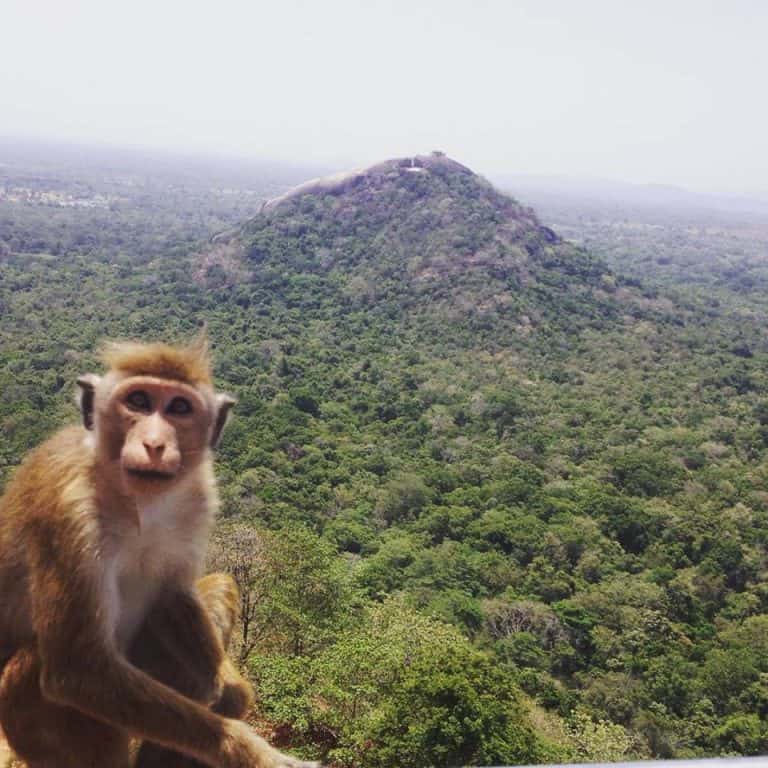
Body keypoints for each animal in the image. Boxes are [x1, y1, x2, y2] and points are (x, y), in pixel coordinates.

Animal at [0, 335, 317, 768]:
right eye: (137, 401)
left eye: (179, 407)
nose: (154, 443)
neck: (137, 502)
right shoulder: (67, 509)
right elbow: (78, 669)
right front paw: (247, 749)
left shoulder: (201, 493)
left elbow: (174, 593)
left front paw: (232, 690)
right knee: (41, 673)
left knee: (217, 589)